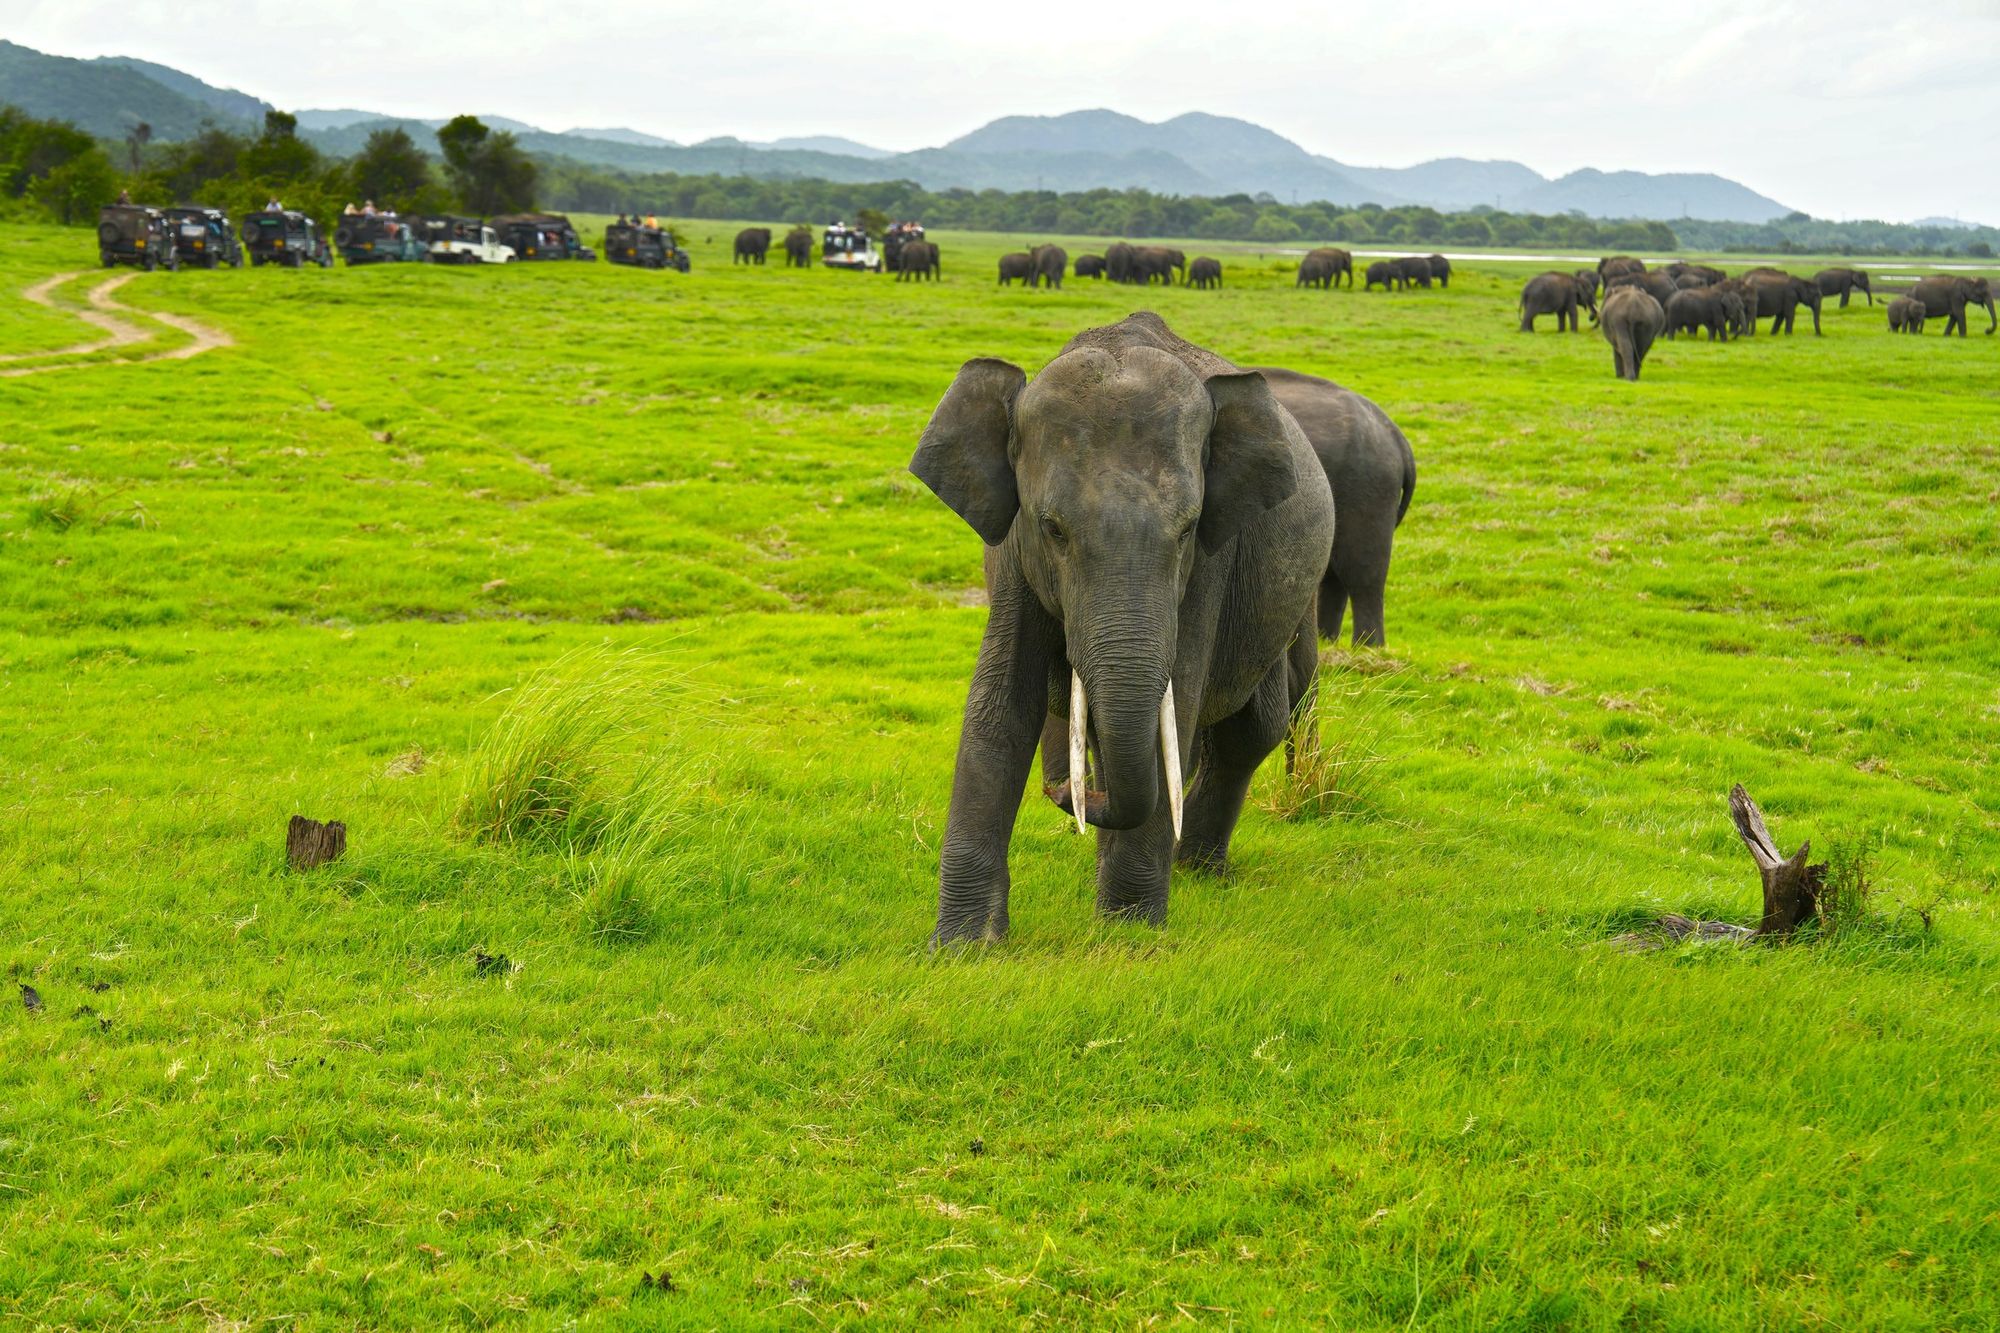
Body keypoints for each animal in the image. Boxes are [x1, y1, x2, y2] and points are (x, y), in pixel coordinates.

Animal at [911, 312, 1334, 943]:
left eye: (1186, 530)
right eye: (1053, 529)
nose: (1063, 791)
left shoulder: (1209, 564)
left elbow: (1175, 711)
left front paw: (1129, 939)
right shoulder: (1013, 548)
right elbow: (1000, 704)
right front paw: (965, 946)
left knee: (1254, 727)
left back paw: (1194, 871)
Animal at [1249, 368, 1416, 647]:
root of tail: (1396, 436)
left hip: (1368, 487)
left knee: (1363, 575)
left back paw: (1366, 648)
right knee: (1334, 576)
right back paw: (1327, 641)